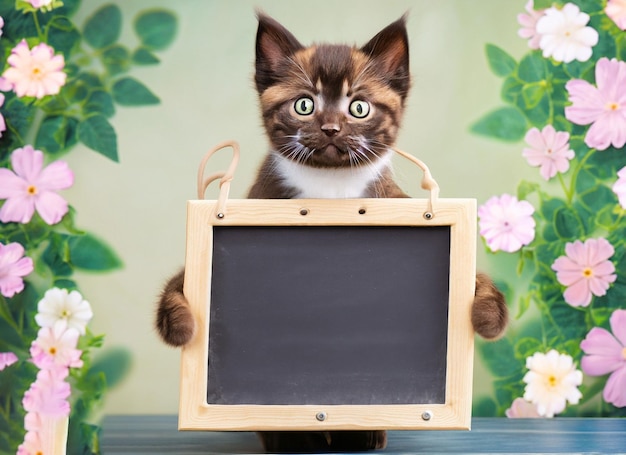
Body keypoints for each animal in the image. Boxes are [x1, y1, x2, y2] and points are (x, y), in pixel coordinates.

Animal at [156, 13, 508, 452]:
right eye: (304, 104)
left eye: (359, 107)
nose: (330, 128)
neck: (330, 187)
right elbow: (179, 285)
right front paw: (183, 323)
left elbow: (479, 283)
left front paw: (487, 312)